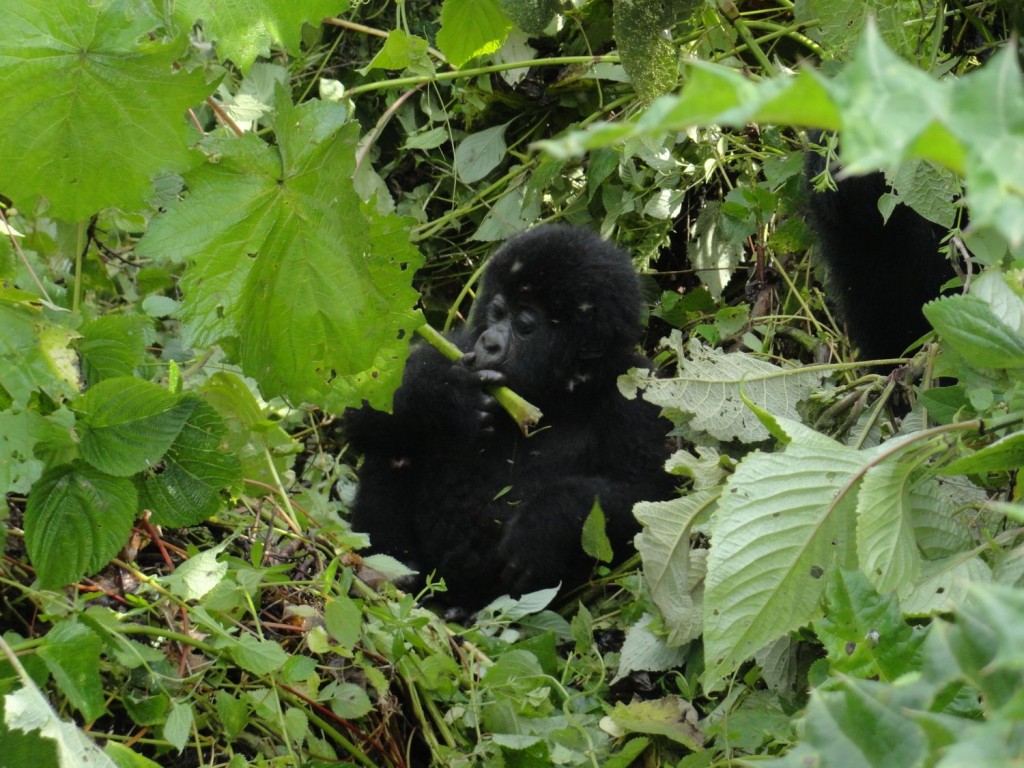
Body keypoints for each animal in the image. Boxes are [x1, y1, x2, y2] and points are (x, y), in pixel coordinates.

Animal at [348, 225, 675, 610]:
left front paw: (546, 523)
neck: (557, 393)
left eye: (524, 324)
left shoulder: (639, 393)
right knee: (393, 442)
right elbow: (364, 407)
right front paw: (443, 397)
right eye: (497, 311)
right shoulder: (459, 345)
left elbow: (651, 498)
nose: (489, 343)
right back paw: (389, 568)